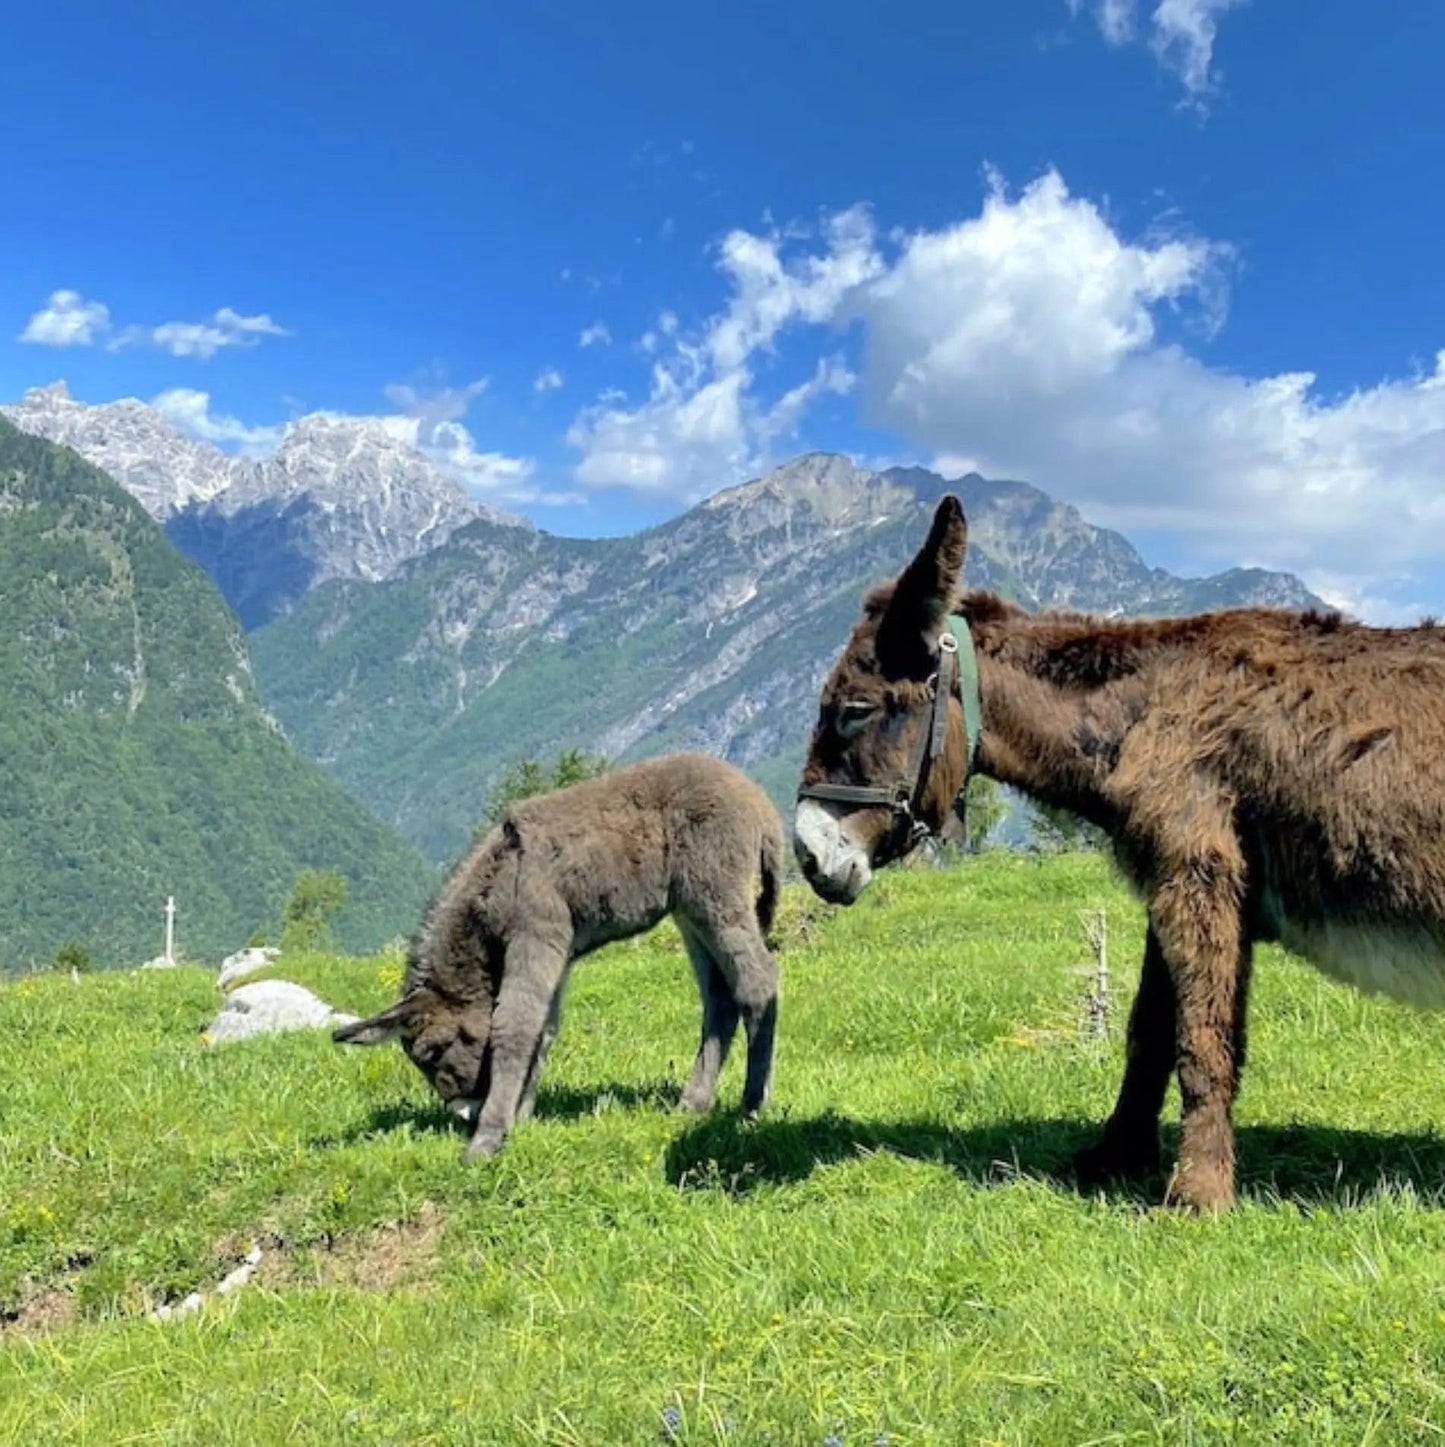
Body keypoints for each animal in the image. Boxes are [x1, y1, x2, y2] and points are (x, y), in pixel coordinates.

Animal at [332, 752, 786, 1157]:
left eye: (432, 1051)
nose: (465, 1113)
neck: (496, 885)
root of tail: (759, 801)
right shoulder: (556, 952)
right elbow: (544, 1029)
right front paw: (521, 1117)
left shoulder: (535, 934)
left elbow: (514, 1026)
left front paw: (488, 1139)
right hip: (688, 911)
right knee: (720, 996)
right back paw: (693, 1103)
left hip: (715, 896)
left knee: (758, 981)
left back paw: (752, 1104)